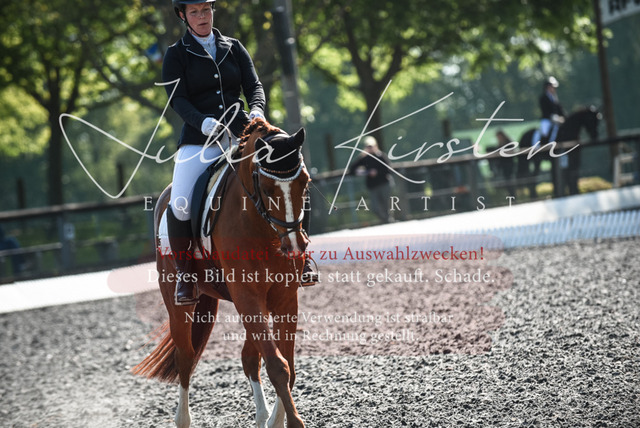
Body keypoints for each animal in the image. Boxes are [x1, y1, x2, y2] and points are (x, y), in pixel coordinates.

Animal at [133, 119, 311, 428]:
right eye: (267, 188)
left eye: (305, 183)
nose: (294, 246)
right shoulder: (248, 296)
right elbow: (278, 366)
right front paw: (293, 422)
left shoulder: (285, 297)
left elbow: (287, 364)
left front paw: (279, 420)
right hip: (179, 304)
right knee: (185, 357)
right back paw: (183, 419)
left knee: (248, 357)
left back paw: (263, 417)